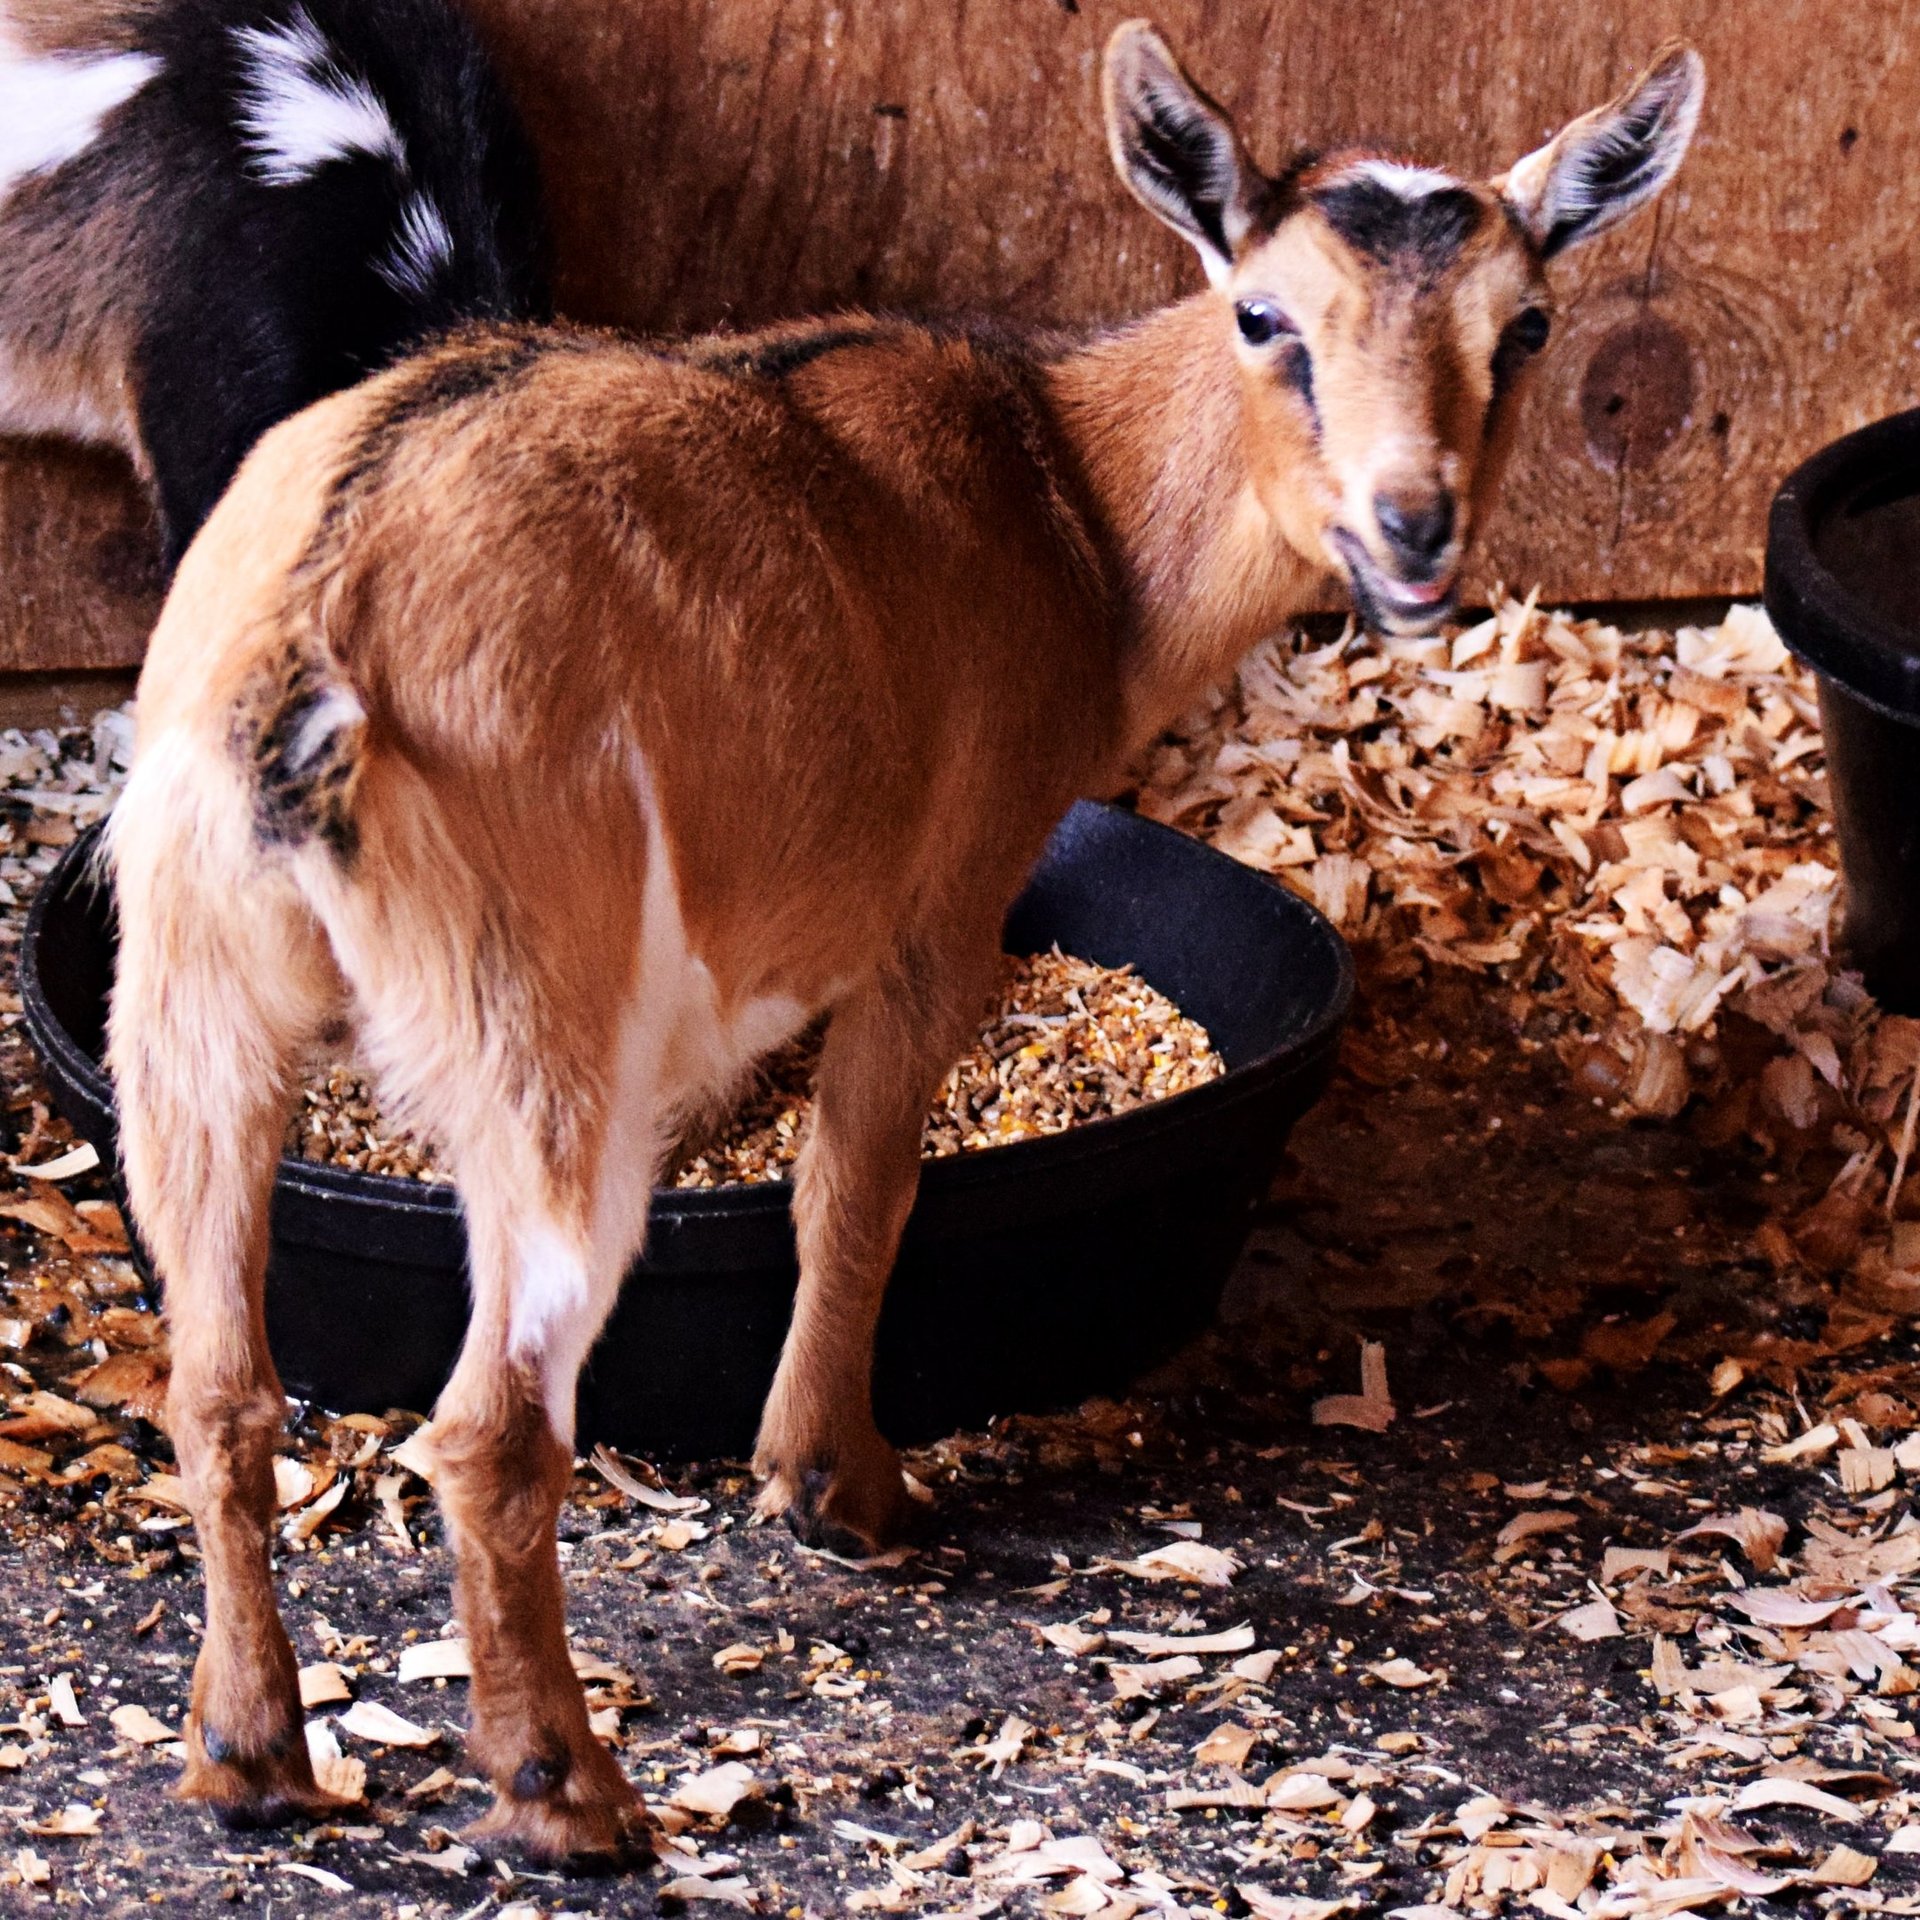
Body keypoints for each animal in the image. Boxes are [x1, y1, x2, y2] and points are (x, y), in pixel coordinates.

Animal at [105, 21, 1703, 1860]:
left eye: (1527, 326)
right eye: (1263, 315)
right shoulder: (942, 902)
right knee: (491, 1426)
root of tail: (310, 629)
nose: (1414, 527)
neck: (1064, 501)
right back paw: (569, 1794)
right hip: (537, 1021)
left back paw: (248, 1758)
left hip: (188, 997)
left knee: (217, 1387)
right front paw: (837, 1487)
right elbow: (856, 1190)